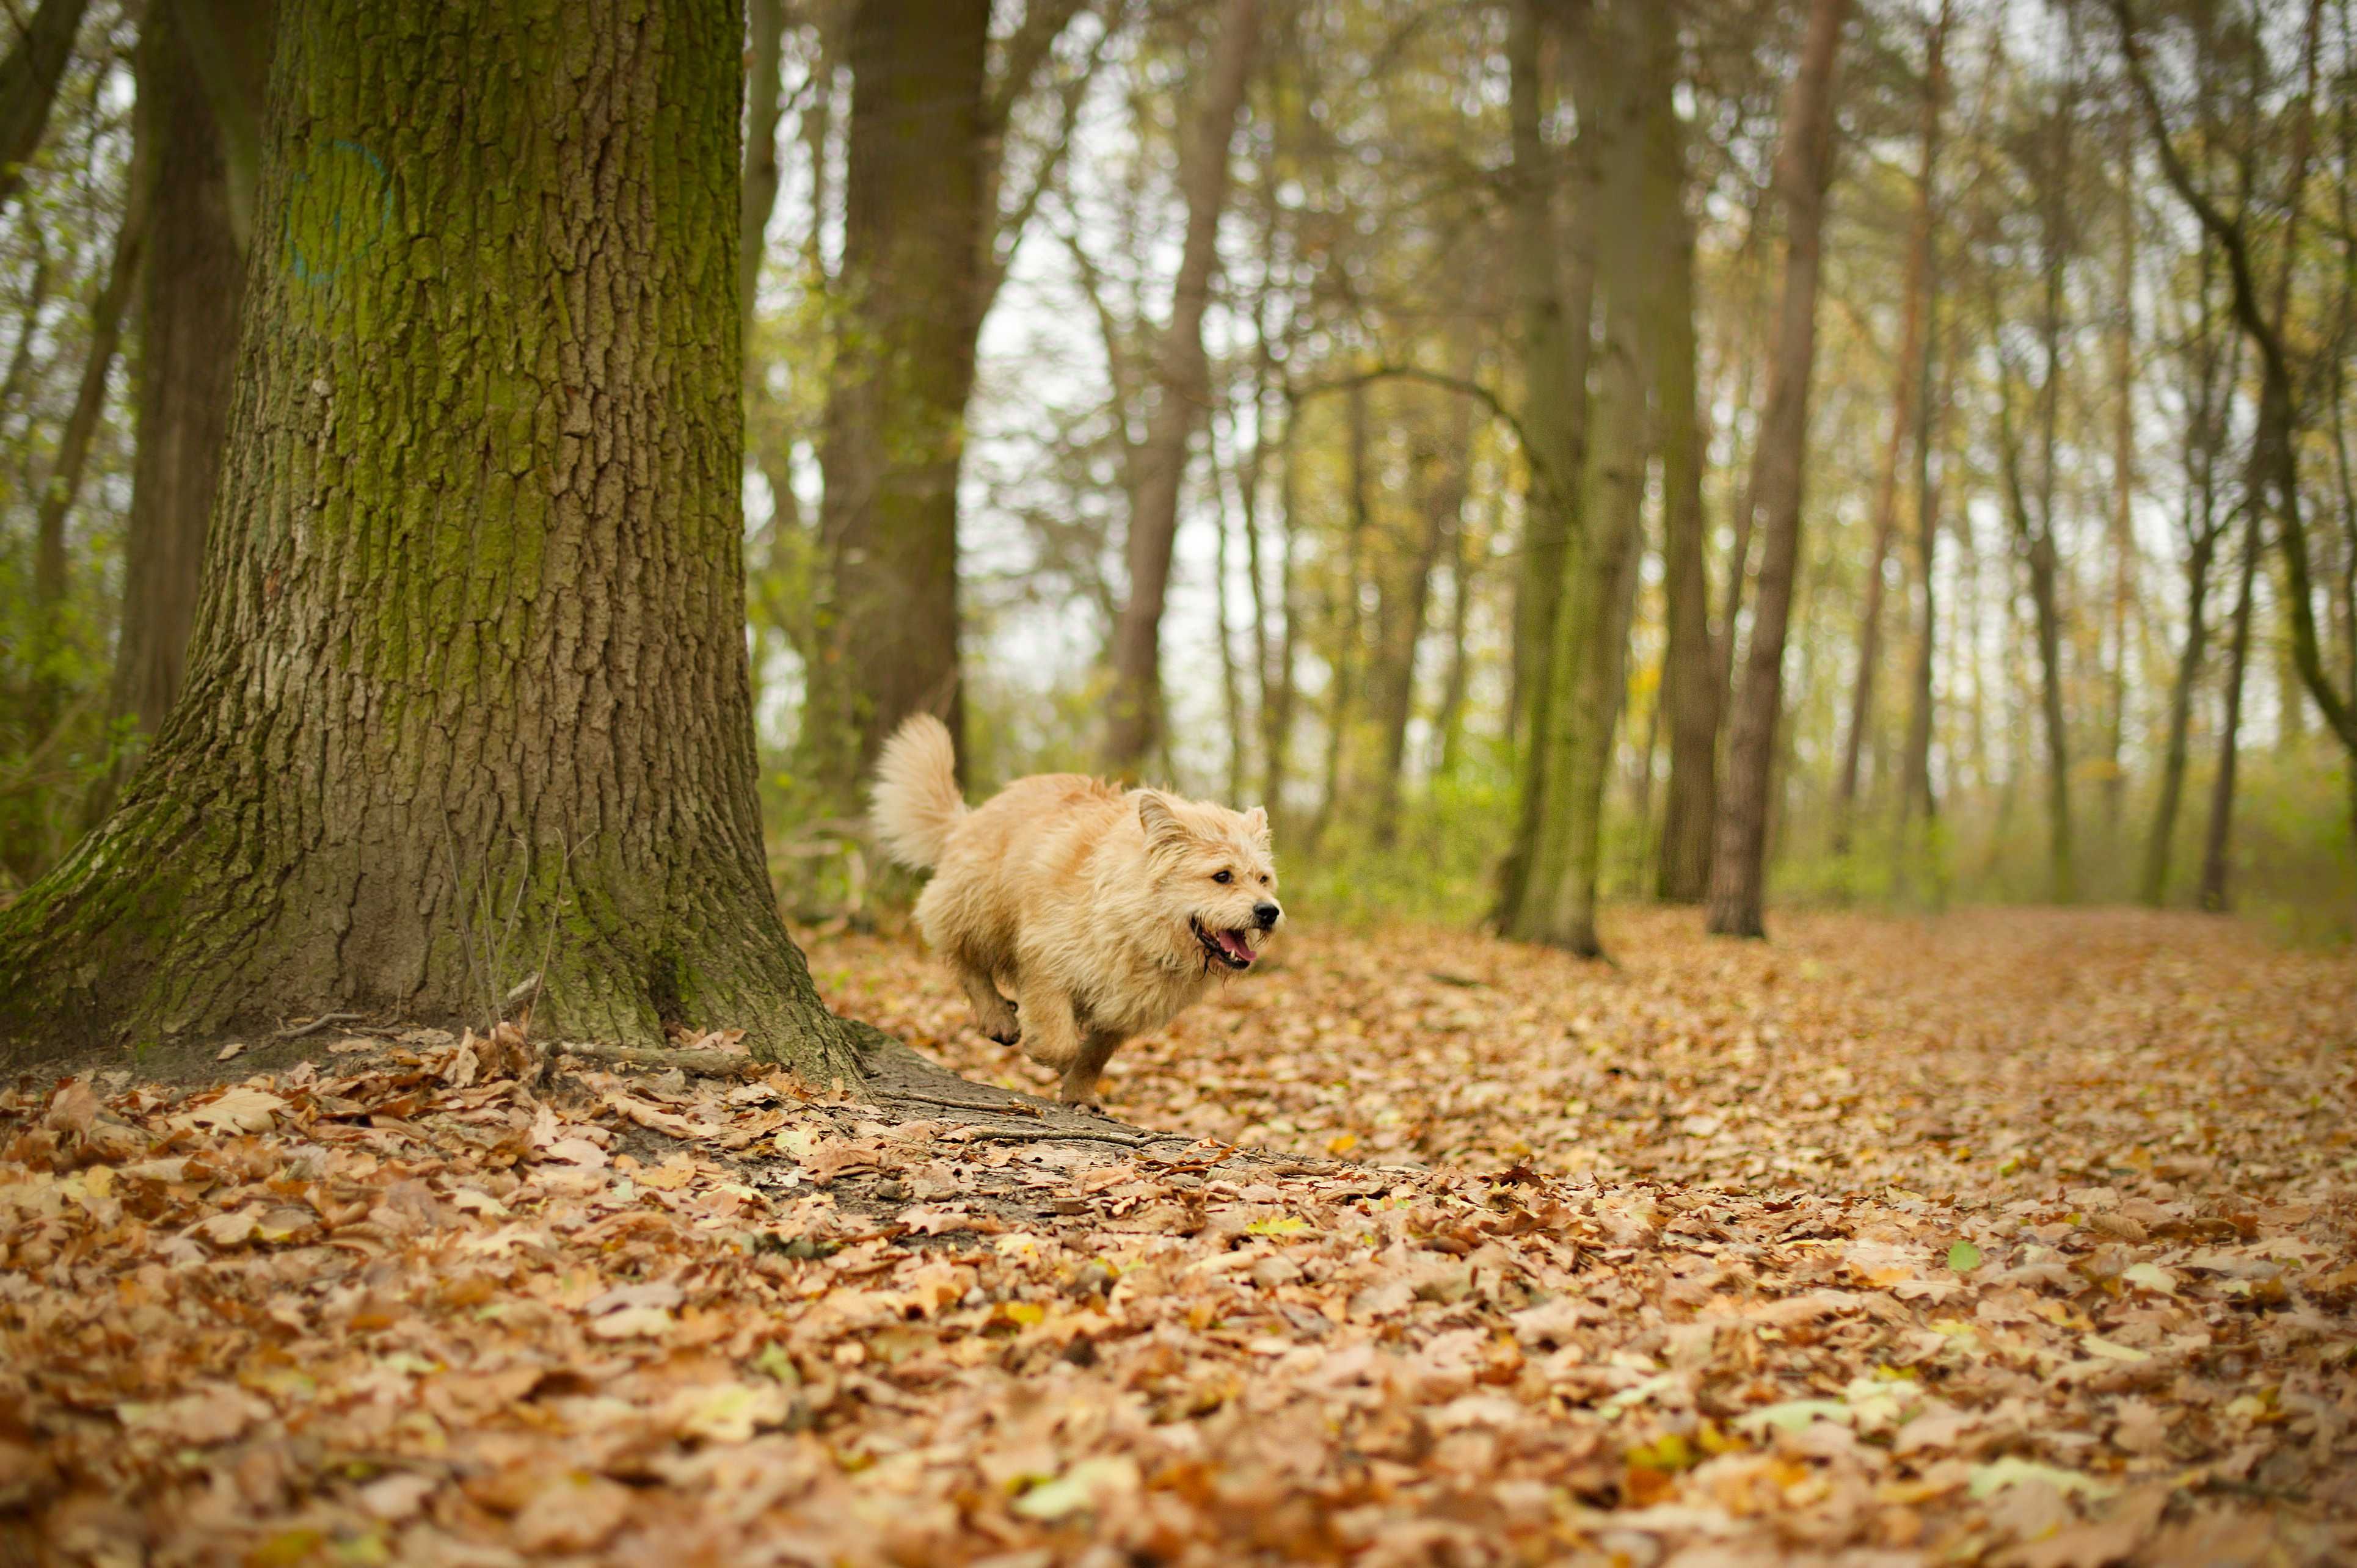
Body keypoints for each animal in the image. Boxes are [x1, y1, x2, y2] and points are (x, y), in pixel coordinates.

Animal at [867, 716, 1282, 1108]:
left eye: (1264, 879)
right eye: (1222, 876)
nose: (1269, 912)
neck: (1138, 923)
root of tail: (970, 818)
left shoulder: (1125, 1006)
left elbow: (1095, 1054)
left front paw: (1080, 1092)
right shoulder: (1048, 960)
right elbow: (1061, 1042)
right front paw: (1051, 1056)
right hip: (978, 907)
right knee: (964, 959)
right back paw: (999, 1017)